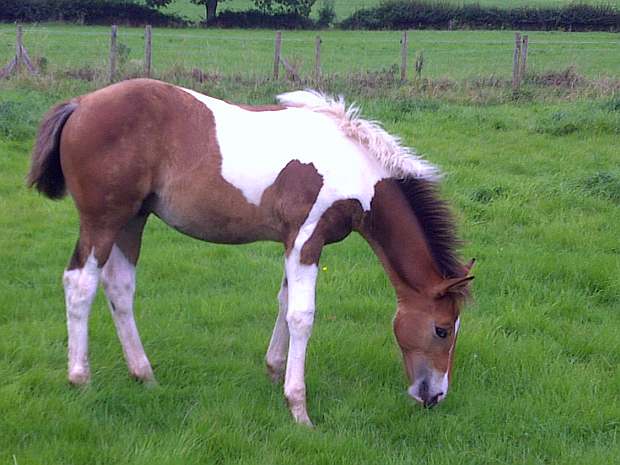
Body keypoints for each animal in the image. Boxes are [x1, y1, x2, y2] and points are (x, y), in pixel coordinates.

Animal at [27, 79, 474, 424]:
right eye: (441, 329)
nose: (434, 395)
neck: (356, 170)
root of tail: (81, 103)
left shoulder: (294, 242)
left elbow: (284, 302)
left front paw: (274, 372)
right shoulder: (308, 238)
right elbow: (302, 316)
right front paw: (299, 410)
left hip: (132, 219)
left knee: (119, 287)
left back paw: (145, 375)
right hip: (103, 220)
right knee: (80, 283)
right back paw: (80, 379)